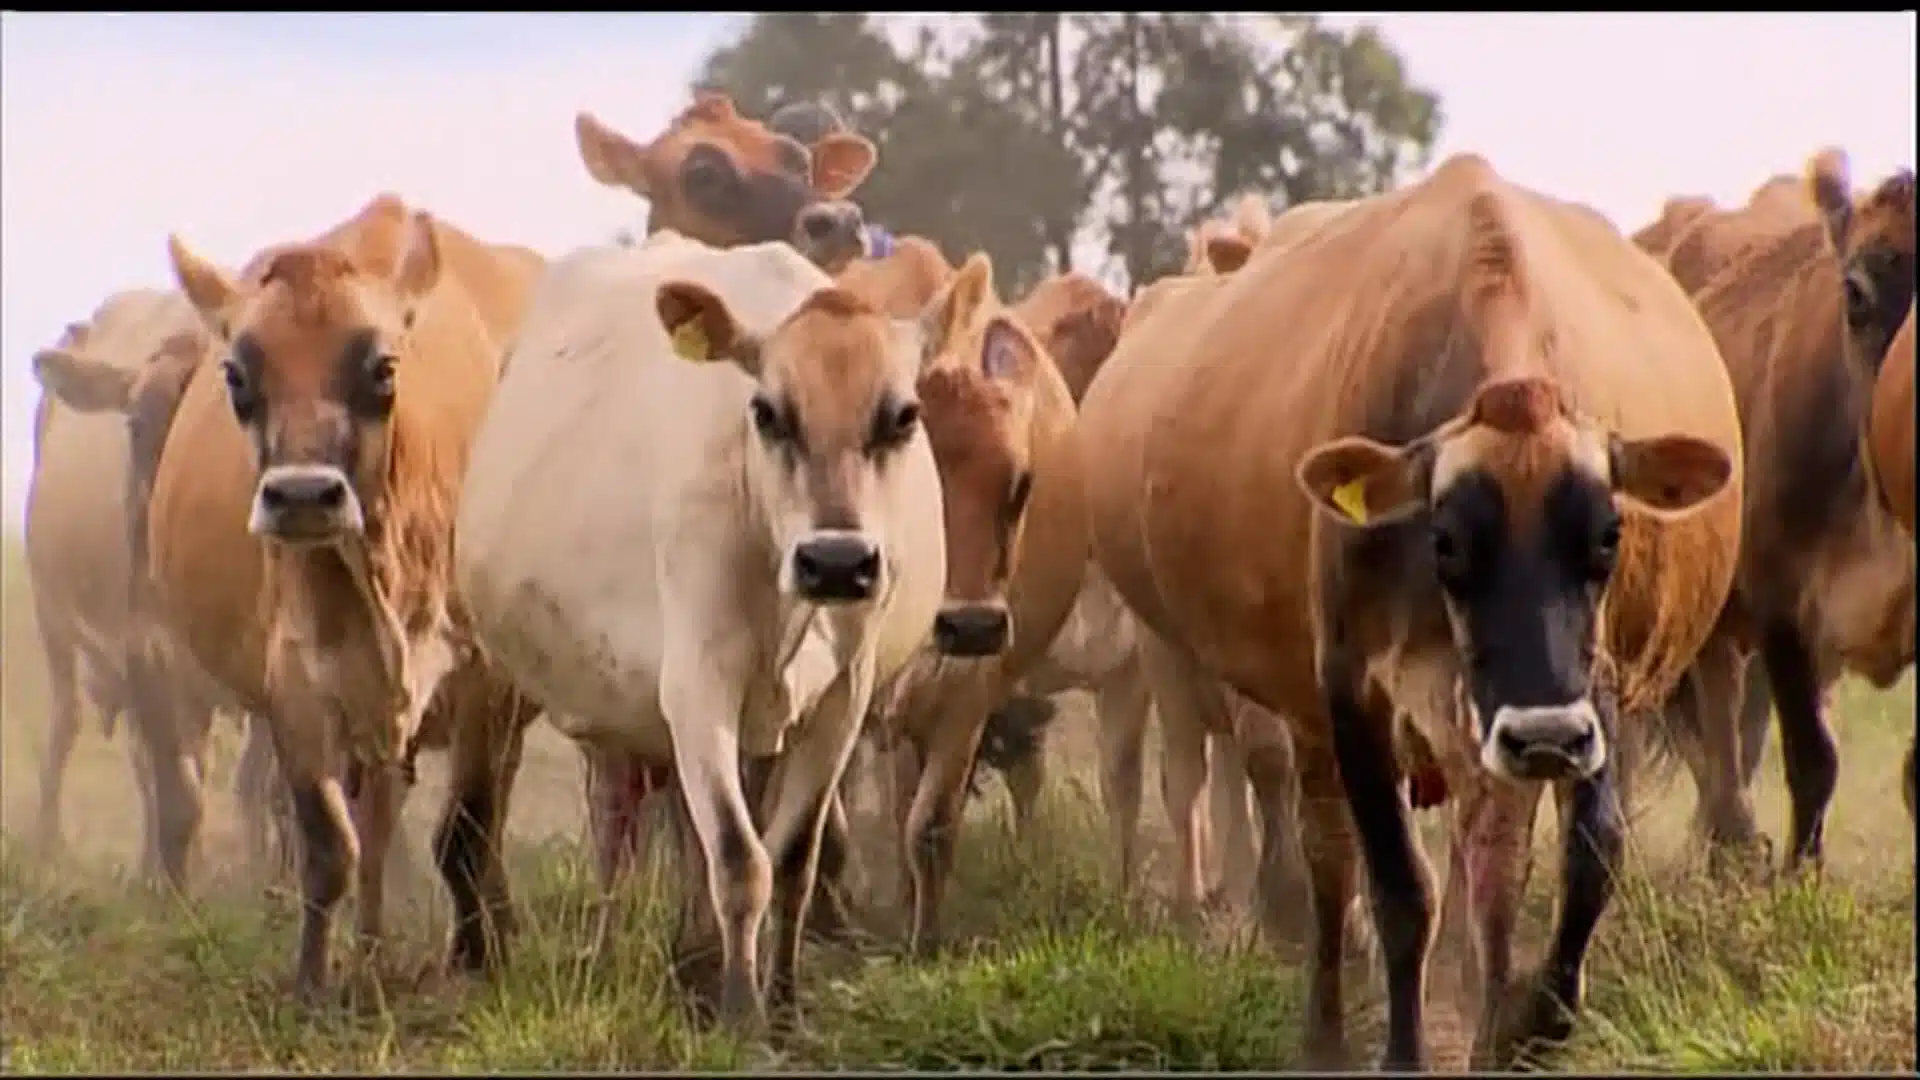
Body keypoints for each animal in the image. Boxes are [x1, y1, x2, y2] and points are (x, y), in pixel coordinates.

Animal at [103, 195, 544, 1002]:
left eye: (383, 367)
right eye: (237, 374)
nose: (303, 496)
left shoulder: (487, 682)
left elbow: (466, 834)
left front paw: (476, 961)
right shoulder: (298, 686)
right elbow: (326, 844)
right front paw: (312, 982)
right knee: (375, 822)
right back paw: (369, 947)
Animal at [452, 233, 945, 1031]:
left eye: (902, 415)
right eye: (768, 412)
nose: (837, 562)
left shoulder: (844, 697)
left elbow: (794, 859)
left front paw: (783, 1000)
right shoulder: (696, 685)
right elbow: (740, 859)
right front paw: (742, 1015)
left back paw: (696, 958)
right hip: (604, 710)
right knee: (617, 827)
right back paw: (615, 952)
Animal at [1077, 154, 1742, 1069]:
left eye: (1609, 535)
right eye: (1447, 539)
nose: (1540, 736)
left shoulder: (1586, 692)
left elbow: (1583, 856)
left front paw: (1527, 1021)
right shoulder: (1350, 694)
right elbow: (1397, 887)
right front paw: (1402, 1047)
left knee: (1481, 861)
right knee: (1325, 856)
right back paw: (1325, 1025)